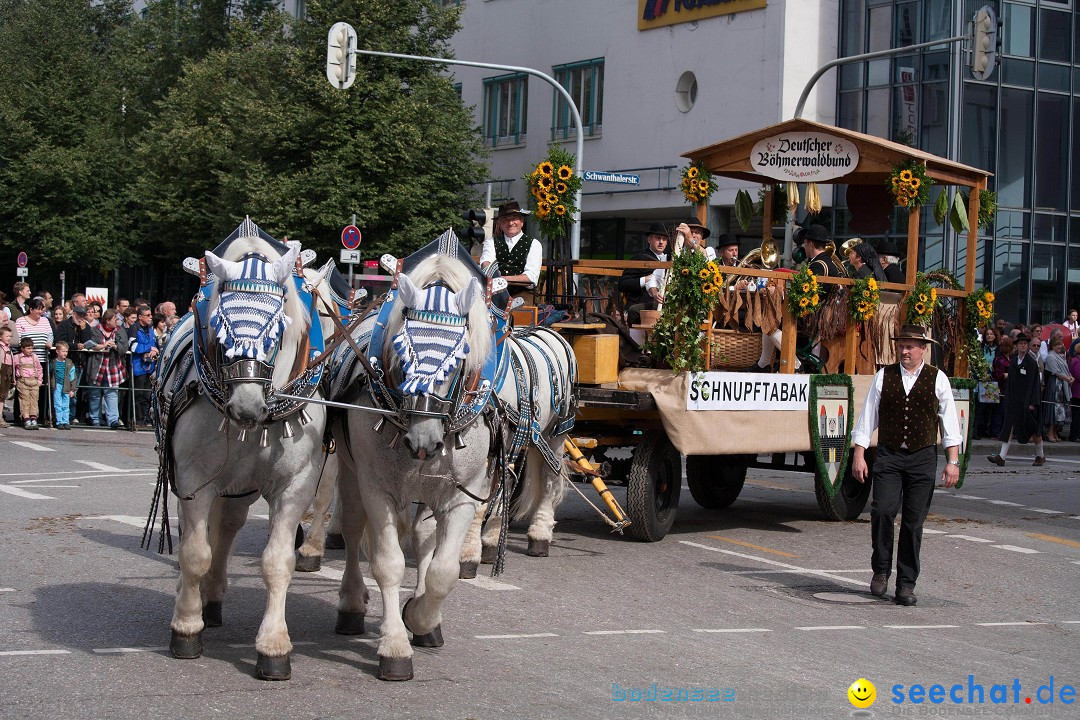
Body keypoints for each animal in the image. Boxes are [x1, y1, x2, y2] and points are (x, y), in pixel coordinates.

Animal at [157, 235, 332, 682]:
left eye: (276, 326)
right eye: (220, 321)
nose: (246, 407)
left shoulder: (295, 486)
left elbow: (277, 562)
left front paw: (273, 646)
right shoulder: (195, 479)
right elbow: (195, 553)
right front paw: (186, 627)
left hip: (238, 487)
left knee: (229, 525)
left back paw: (214, 596)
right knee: (199, 534)